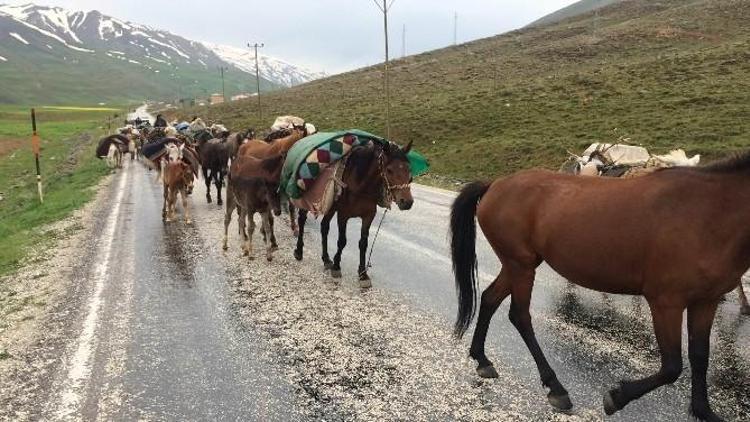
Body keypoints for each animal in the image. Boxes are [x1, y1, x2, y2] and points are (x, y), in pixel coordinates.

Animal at [294, 142, 414, 286]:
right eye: (389, 170)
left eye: (408, 169)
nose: (407, 202)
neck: (360, 185)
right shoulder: (343, 215)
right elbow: (342, 241)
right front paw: (336, 267)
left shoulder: (368, 217)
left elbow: (363, 243)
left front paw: (363, 274)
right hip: (308, 202)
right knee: (302, 220)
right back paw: (299, 251)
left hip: (331, 208)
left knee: (324, 227)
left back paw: (326, 259)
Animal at [450, 152, 750, 422]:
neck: (707, 214)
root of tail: (495, 184)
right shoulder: (667, 302)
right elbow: (672, 366)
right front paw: (617, 397)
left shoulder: (706, 301)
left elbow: (700, 357)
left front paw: (704, 411)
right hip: (520, 266)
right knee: (520, 316)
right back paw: (556, 388)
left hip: (517, 265)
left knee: (490, 299)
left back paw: (482, 360)